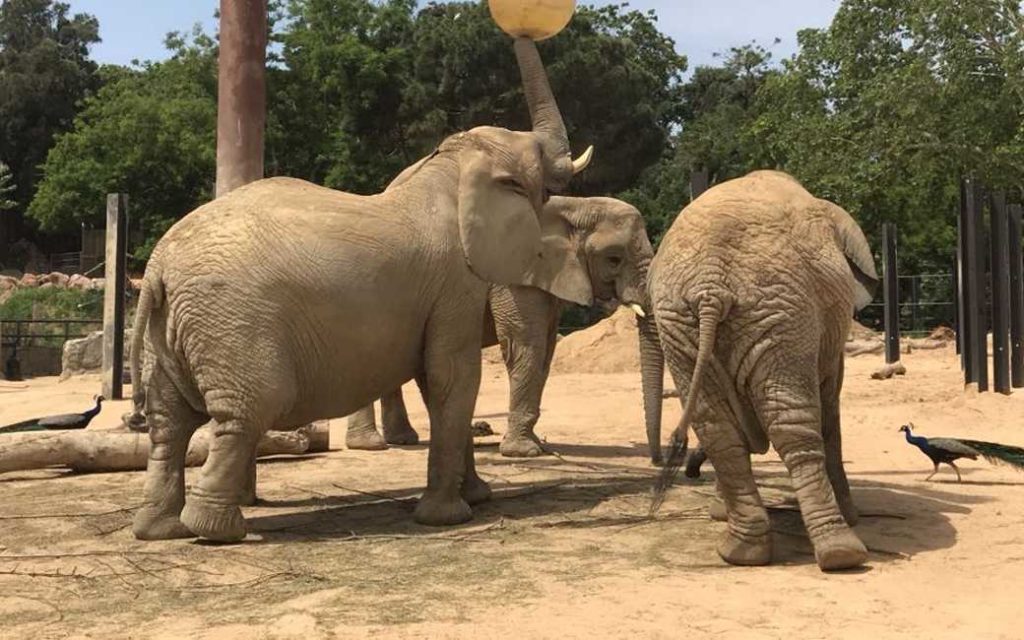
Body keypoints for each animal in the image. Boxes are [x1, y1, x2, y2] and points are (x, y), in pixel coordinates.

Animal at [129, 38, 606, 540]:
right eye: (537, 162)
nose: (518, 30)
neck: (449, 167)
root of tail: (158, 265)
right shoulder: (454, 282)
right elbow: (452, 377)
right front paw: (449, 516)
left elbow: (438, 381)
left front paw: (477, 499)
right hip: (231, 324)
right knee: (245, 412)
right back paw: (216, 530)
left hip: (170, 328)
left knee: (169, 423)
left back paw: (161, 529)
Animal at [342, 194, 647, 454]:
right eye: (614, 259)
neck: (575, 205)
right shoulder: (514, 274)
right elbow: (525, 347)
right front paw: (524, 452)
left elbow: (545, 353)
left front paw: (535, 445)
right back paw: (370, 445)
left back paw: (403, 440)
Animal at [643, 168, 876, 569]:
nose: (691, 469)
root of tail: (711, 287)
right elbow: (830, 404)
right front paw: (853, 515)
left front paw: (720, 512)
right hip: (780, 311)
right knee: (791, 421)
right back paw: (840, 552)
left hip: (685, 320)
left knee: (716, 427)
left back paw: (741, 552)